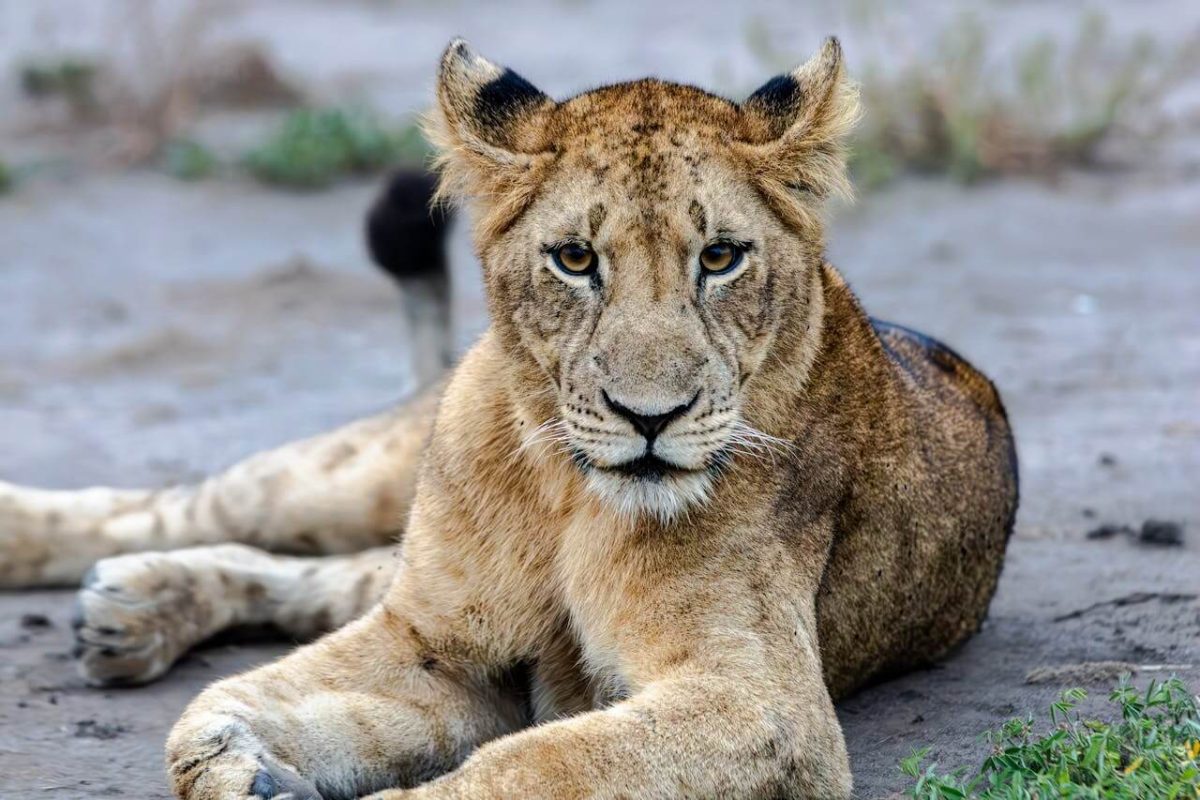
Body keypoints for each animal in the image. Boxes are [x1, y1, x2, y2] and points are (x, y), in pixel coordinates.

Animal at [0, 38, 1018, 799]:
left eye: (721, 257)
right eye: (575, 259)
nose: (651, 417)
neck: (564, 496)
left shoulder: (763, 703)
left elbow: (529, 765)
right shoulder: (434, 642)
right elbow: (236, 704)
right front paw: (236, 757)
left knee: (329, 575)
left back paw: (131, 613)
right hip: (358, 479)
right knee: (204, 505)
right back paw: (70, 563)